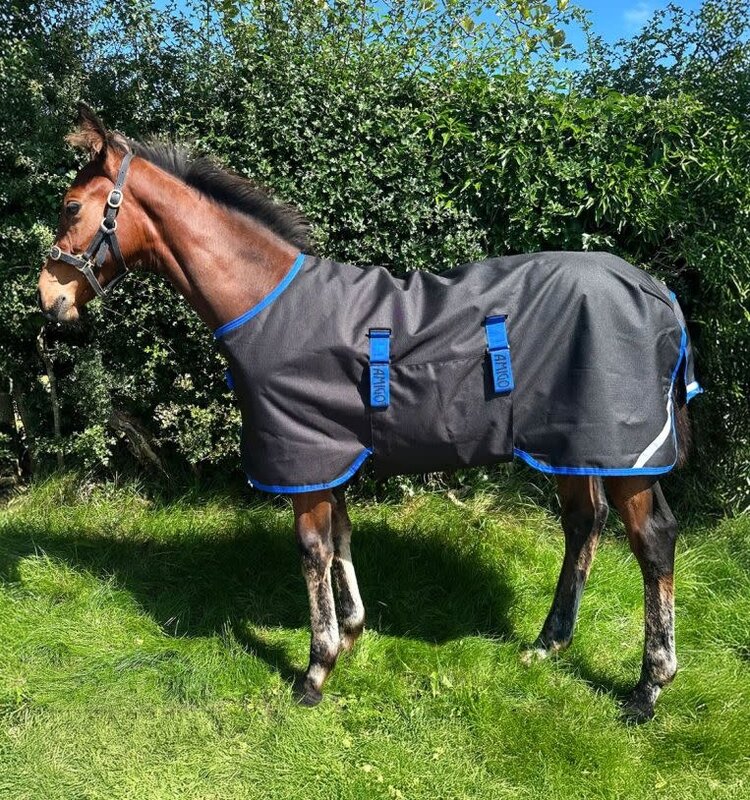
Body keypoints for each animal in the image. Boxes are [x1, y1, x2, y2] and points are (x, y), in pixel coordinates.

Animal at [37, 104, 702, 723]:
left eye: (71, 207)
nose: (49, 299)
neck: (268, 303)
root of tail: (657, 291)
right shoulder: (326, 453)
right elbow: (341, 533)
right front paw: (353, 633)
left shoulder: (304, 457)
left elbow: (313, 549)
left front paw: (316, 669)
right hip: (573, 445)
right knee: (584, 524)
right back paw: (549, 643)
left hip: (625, 453)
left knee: (652, 540)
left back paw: (649, 687)